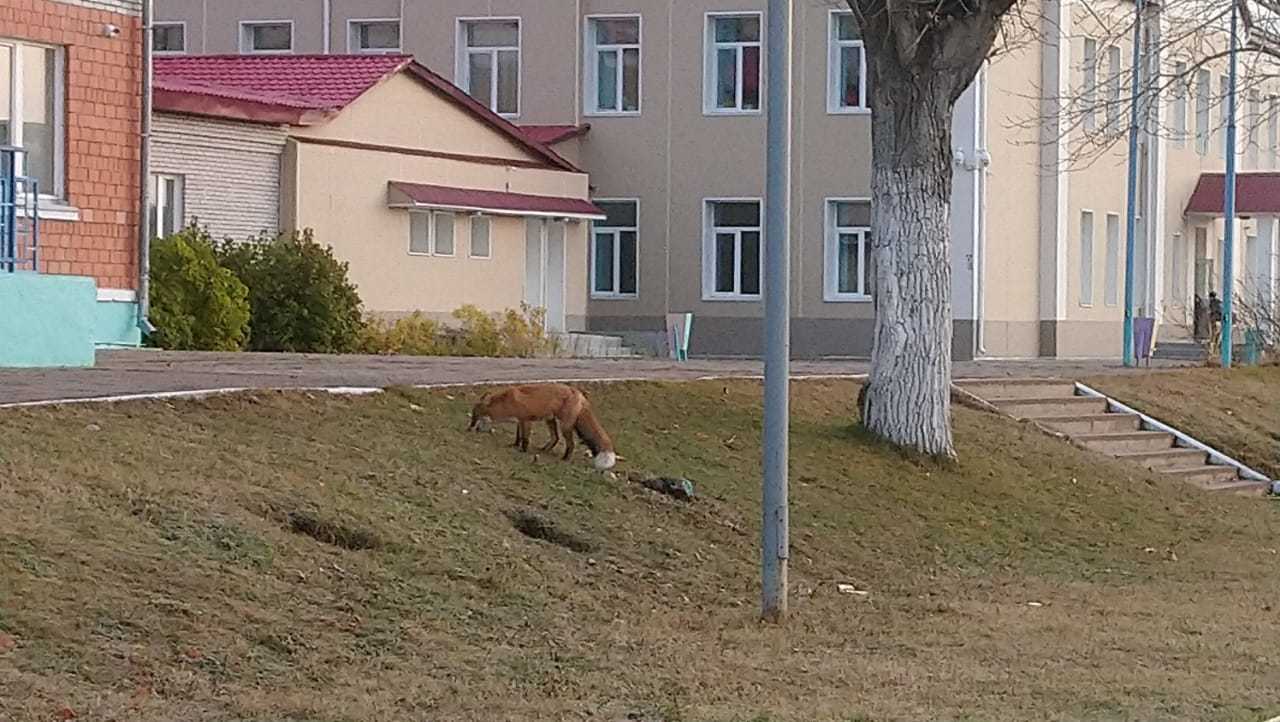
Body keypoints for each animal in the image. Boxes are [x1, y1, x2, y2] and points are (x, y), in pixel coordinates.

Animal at [468, 384, 616, 468]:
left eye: (475, 416)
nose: (469, 428)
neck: (507, 403)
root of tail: (579, 394)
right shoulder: (520, 421)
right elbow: (518, 437)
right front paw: (515, 445)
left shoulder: (526, 420)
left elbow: (525, 439)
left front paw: (523, 450)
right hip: (550, 421)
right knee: (555, 438)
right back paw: (544, 450)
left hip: (565, 426)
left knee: (570, 444)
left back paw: (564, 459)